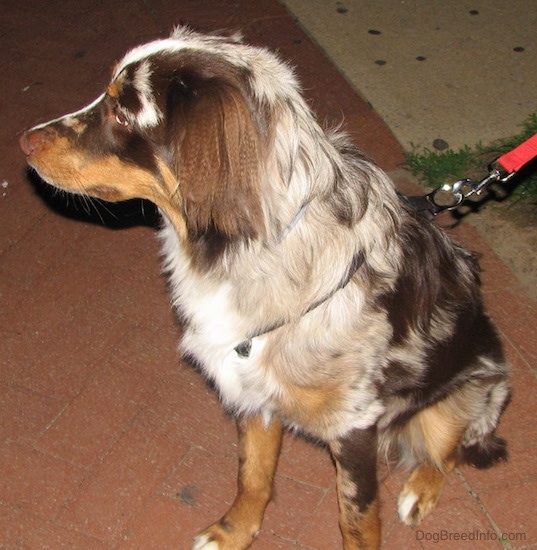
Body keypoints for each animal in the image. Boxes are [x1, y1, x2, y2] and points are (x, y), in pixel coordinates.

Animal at [18, 25, 508, 550]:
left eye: (122, 111)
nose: (23, 141)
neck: (253, 250)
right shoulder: (250, 385)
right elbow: (253, 473)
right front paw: (234, 531)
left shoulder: (355, 424)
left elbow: (357, 519)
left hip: (460, 402)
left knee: (449, 452)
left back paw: (420, 489)